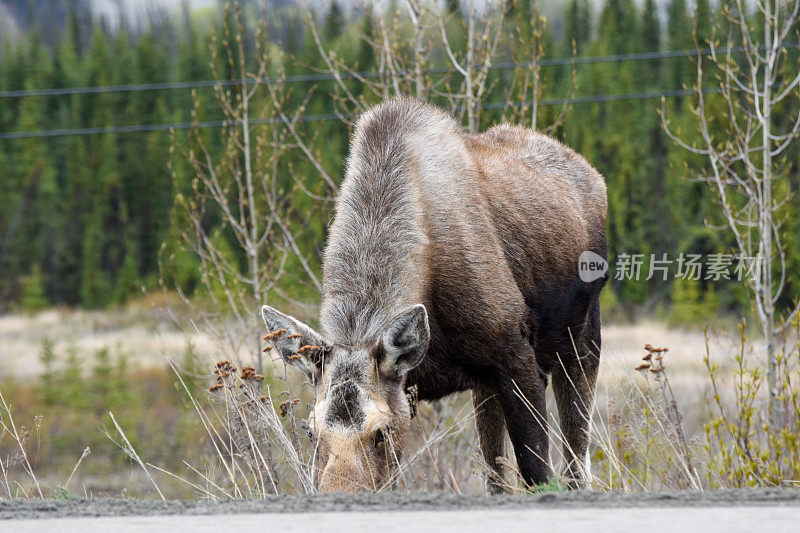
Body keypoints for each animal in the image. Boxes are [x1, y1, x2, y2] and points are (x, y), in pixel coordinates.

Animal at [262, 97, 608, 492]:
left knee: (576, 461)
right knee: (496, 471)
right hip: (487, 383)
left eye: (381, 432)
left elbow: (538, 472)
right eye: (310, 433)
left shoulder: (517, 357)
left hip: (580, 343)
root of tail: (595, 176)